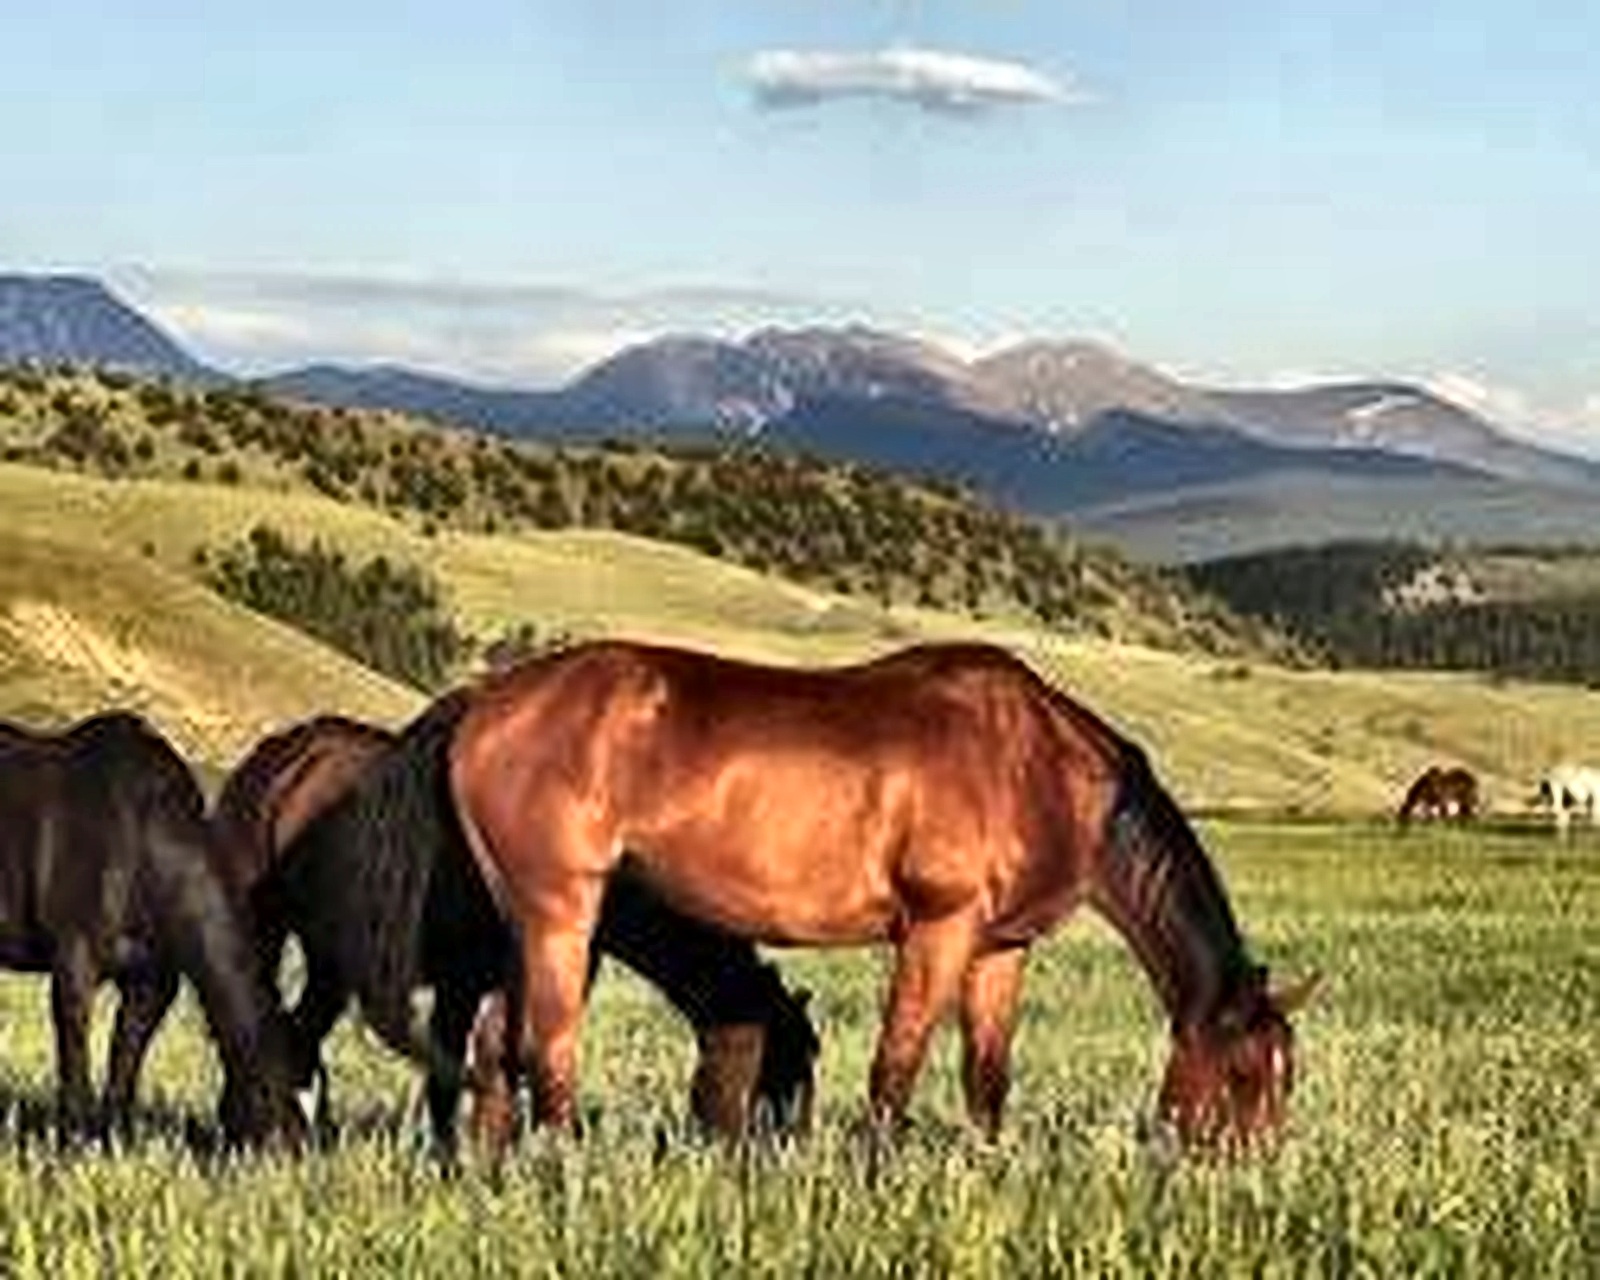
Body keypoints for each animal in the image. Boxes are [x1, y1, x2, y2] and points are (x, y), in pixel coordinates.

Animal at [0, 712, 304, 1147]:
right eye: (270, 1092)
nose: (302, 1157)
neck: (136, 832)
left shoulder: (153, 983)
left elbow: (126, 1056)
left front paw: (114, 1139)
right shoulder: (74, 962)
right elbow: (75, 1047)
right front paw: (73, 1138)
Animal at [240, 705, 819, 1150]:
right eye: (789, 1068)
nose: (787, 1150)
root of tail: (300, 755)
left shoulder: (473, 978)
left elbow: (466, 1061)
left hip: (328, 964)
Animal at [431, 639, 1317, 1154]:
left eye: (1287, 1077)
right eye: (1245, 1074)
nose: (1255, 1173)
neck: (1040, 764)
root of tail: (483, 703)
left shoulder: (1001, 949)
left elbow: (986, 1075)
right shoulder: (938, 929)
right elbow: (898, 1065)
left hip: (524, 924)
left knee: (495, 1046)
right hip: (561, 917)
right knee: (546, 1050)